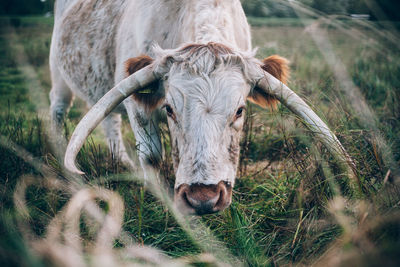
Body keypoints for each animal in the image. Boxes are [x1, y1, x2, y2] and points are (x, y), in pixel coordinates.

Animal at [50, 0, 354, 216]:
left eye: (240, 110)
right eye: (169, 109)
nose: (203, 199)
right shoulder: (138, 107)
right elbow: (151, 155)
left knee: (110, 121)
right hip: (58, 72)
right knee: (59, 107)